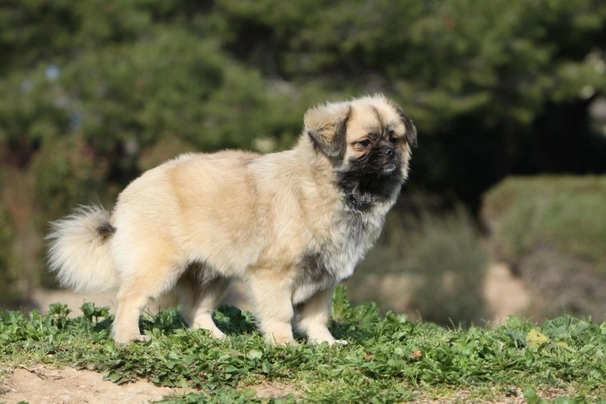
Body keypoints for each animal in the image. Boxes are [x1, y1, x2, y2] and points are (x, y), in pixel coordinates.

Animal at [47, 94, 418, 344]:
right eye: (364, 143)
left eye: (395, 138)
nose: (389, 153)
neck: (329, 189)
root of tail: (130, 193)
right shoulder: (274, 275)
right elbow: (281, 314)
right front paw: (285, 345)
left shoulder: (323, 279)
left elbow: (316, 317)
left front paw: (325, 344)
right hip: (159, 266)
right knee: (129, 301)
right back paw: (129, 339)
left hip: (212, 274)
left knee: (194, 310)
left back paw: (216, 338)